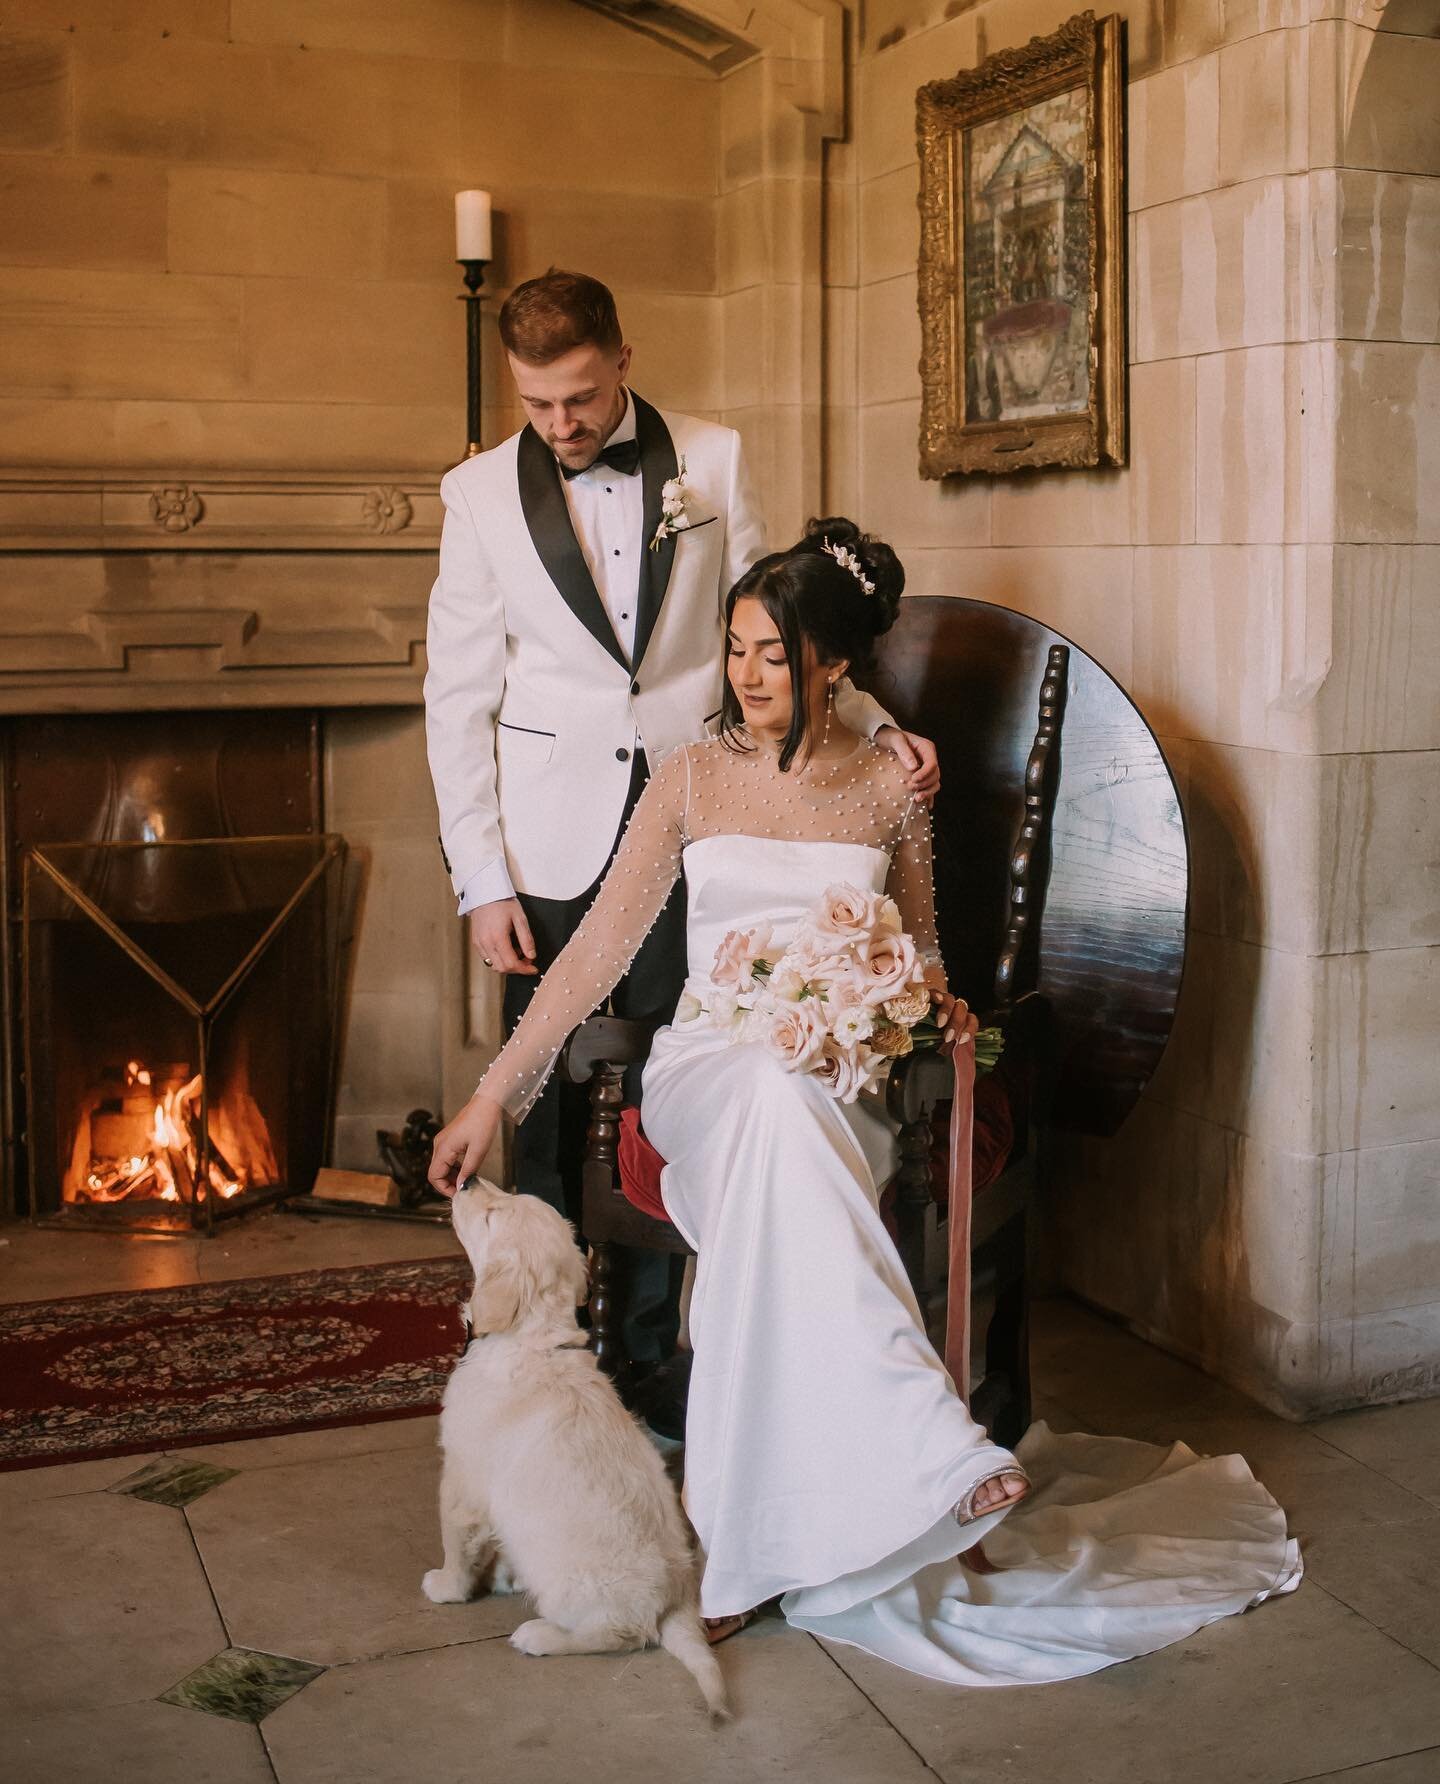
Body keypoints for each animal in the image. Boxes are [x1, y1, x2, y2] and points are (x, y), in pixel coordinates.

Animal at [422, 1177, 728, 1719]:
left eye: (491, 1216)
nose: (467, 1178)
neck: (531, 1342)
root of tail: (678, 1600)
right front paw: (501, 1573)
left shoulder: (462, 1481)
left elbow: (457, 1544)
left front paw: (447, 1586)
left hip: (579, 1592)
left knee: (620, 1634)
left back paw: (539, 1636)